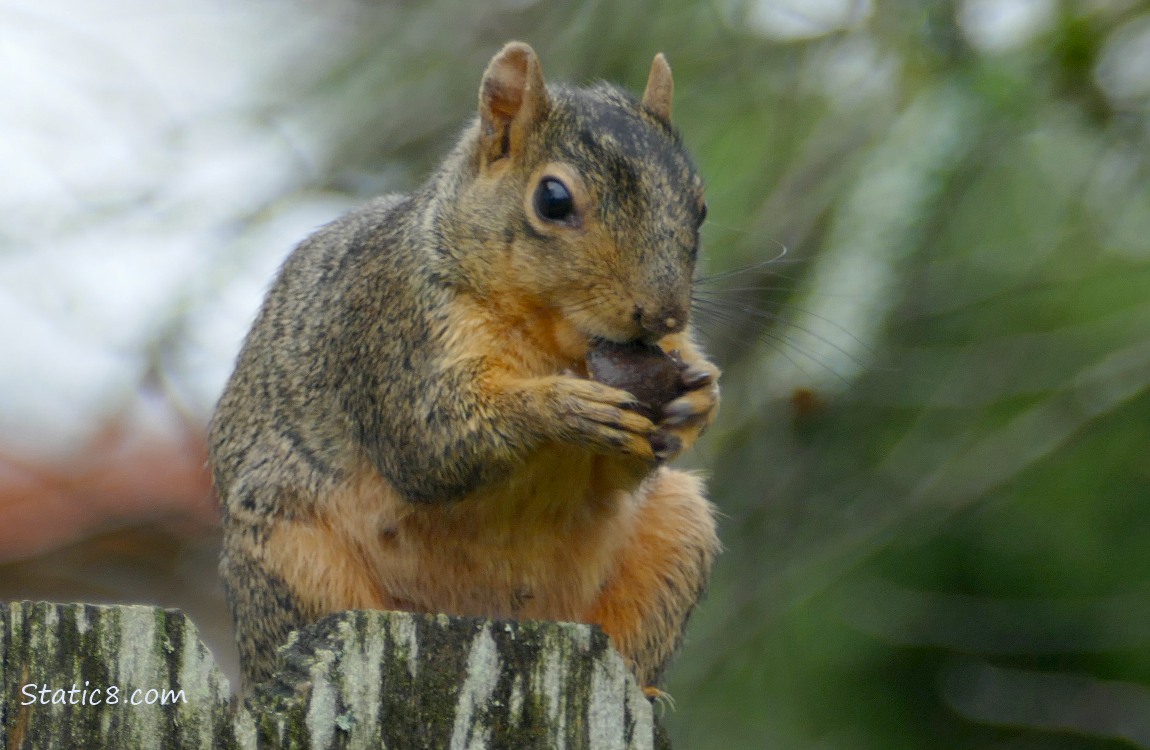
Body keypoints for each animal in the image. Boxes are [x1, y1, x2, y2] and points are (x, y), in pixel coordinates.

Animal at [209, 41, 721, 693]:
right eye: (553, 200)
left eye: (699, 207)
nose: (662, 315)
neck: (555, 340)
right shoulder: (398, 334)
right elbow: (429, 441)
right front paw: (565, 406)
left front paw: (698, 402)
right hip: (290, 554)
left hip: (679, 533)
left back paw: (648, 688)